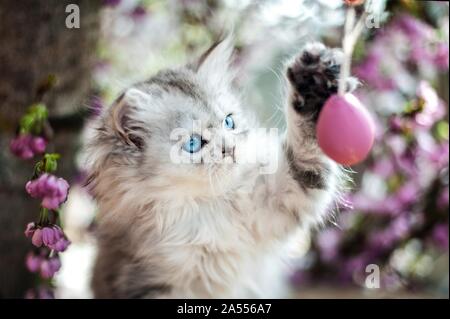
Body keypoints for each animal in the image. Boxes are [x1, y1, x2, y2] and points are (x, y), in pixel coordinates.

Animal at [83, 37, 352, 300]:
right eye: (193, 143)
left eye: (229, 122)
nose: (230, 148)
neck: (209, 207)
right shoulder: (150, 280)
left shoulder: (282, 196)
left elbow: (306, 148)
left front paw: (313, 84)